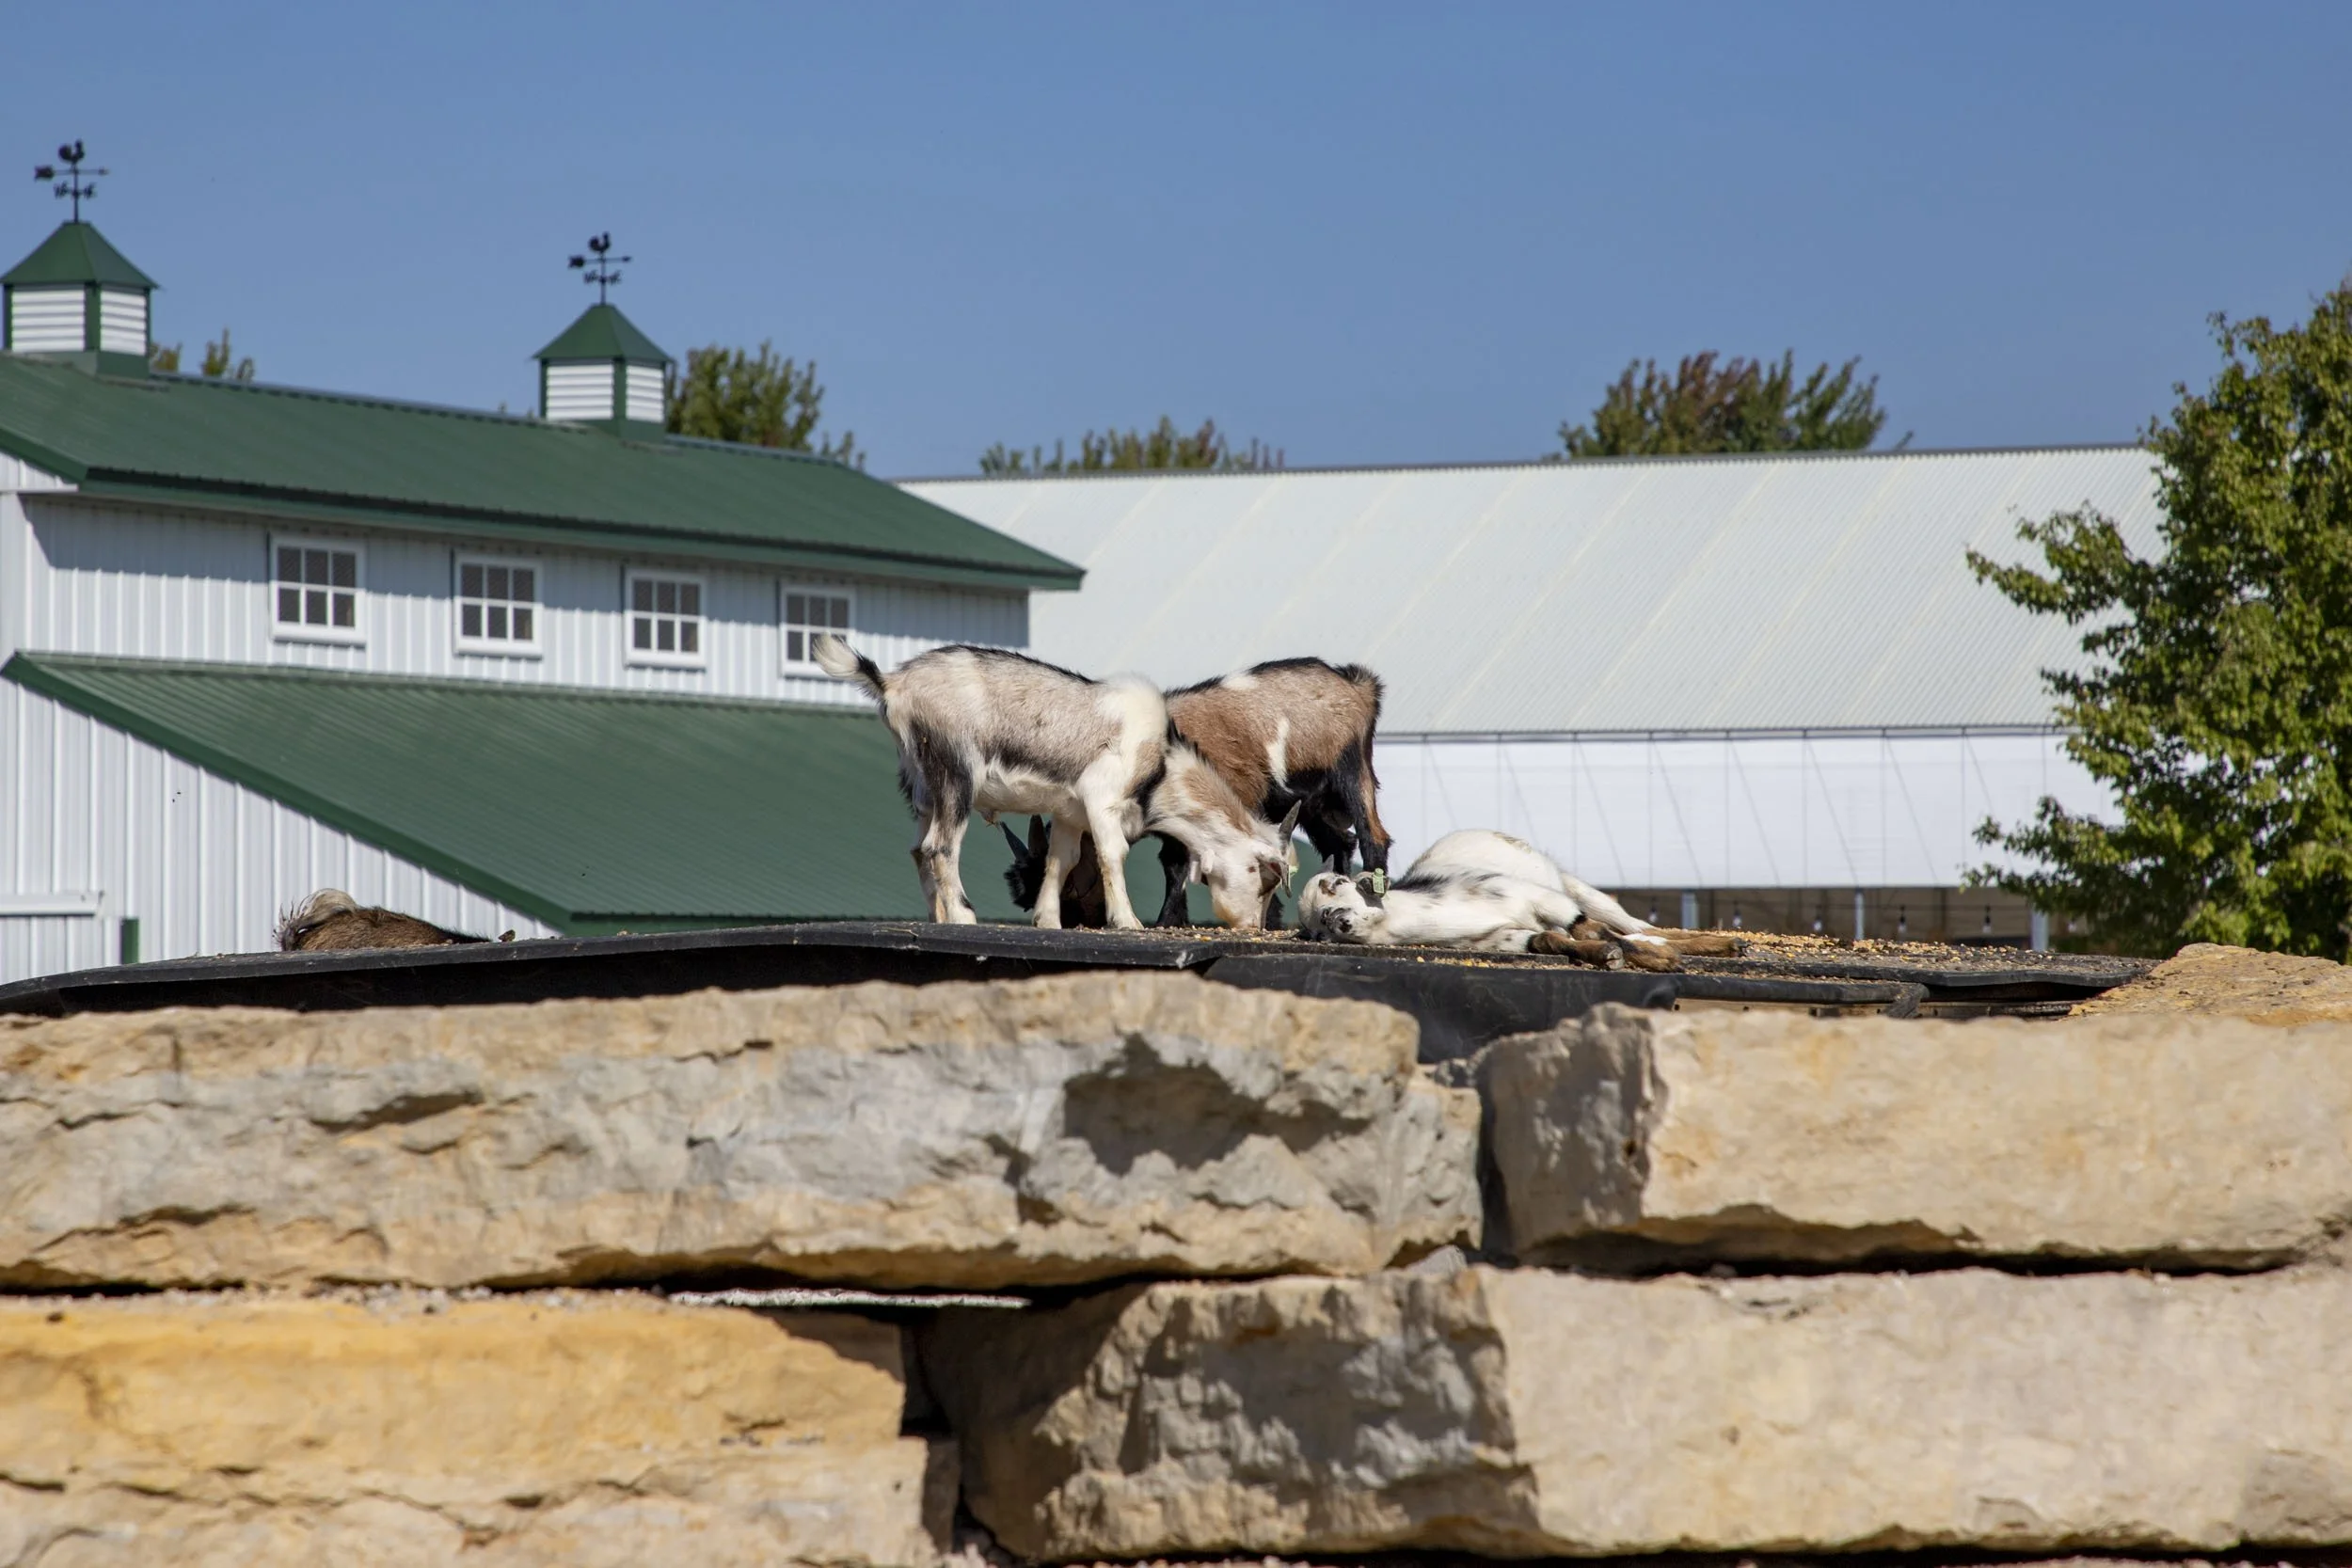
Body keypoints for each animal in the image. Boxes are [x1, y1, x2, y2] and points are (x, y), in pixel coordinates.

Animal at [815, 635, 1293, 929]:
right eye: (1264, 877)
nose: (1251, 926)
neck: (1161, 765)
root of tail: (892, 683)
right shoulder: (1103, 801)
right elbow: (1111, 855)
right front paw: (1127, 921)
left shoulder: (1070, 813)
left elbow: (1060, 861)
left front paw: (1047, 919)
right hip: (956, 774)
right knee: (940, 847)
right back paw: (963, 916)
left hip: (920, 786)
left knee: (918, 849)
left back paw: (939, 917)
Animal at [1297, 830, 1744, 969]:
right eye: (1317, 929)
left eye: (1337, 883)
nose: (1338, 921)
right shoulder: (1499, 937)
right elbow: (1549, 940)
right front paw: (1604, 955)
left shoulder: (1532, 896)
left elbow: (1589, 930)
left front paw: (1660, 961)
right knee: (1641, 931)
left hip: (1572, 886)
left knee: (1638, 926)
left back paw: (1720, 944)